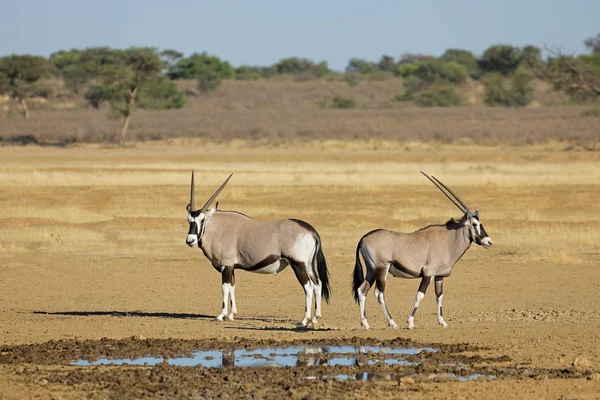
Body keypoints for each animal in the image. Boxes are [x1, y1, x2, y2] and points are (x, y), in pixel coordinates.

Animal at [184, 171, 330, 324]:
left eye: (202, 220)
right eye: (189, 220)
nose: (190, 240)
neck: (218, 228)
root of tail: (311, 231)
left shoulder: (226, 265)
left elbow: (225, 288)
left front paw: (221, 315)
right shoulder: (231, 267)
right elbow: (232, 287)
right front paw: (232, 315)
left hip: (298, 264)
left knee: (308, 287)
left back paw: (304, 319)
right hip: (308, 265)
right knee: (318, 284)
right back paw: (315, 318)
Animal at [352, 172, 492, 332]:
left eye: (480, 223)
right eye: (474, 224)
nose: (489, 242)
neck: (448, 240)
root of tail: (364, 238)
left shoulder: (439, 276)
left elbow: (439, 296)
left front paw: (443, 322)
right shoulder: (428, 274)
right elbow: (420, 295)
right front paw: (410, 323)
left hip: (371, 270)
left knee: (362, 290)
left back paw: (366, 324)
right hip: (382, 268)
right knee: (379, 293)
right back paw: (393, 323)